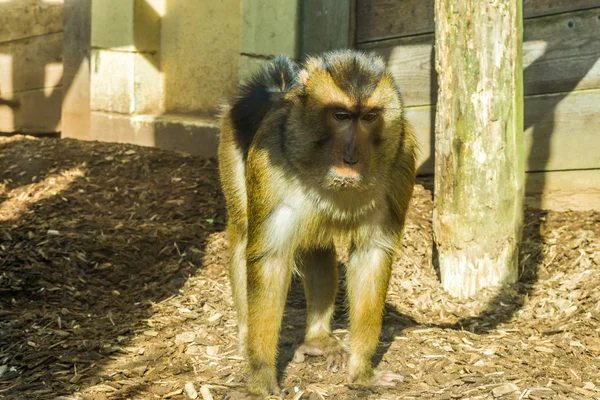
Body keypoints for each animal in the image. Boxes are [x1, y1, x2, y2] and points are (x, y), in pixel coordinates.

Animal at [218, 50, 420, 396]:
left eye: (369, 117)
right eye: (340, 116)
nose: (351, 156)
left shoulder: (401, 159)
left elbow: (370, 255)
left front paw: (361, 371)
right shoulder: (269, 161)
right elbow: (270, 259)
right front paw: (260, 378)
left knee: (316, 246)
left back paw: (317, 340)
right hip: (230, 141)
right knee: (245, 236)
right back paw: (246, 338)